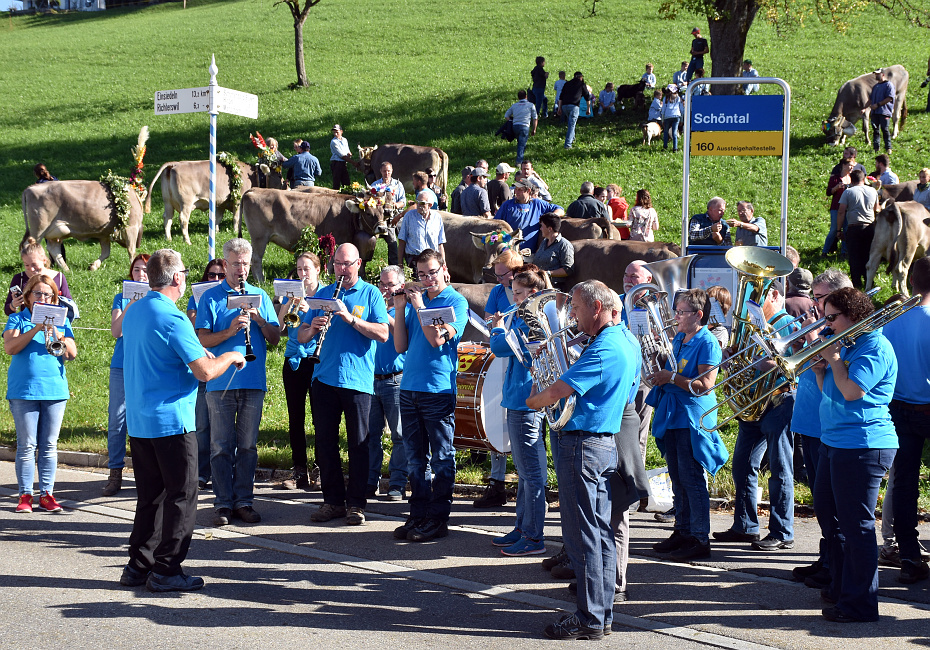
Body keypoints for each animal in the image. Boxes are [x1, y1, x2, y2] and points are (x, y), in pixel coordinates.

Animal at [143, 160, 280, 246]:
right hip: (186, 203)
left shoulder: (220, 203)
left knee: (167, 218)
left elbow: (217, 218)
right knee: (183, 219)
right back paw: (187, 241)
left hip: (167, 202)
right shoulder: (237, 200)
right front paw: (235, 231)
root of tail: (173, 164)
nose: (285, 185)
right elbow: (236, 218)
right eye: (280, 176)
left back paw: (168, 239)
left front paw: (216, 231)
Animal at [239, 186, 388, 280]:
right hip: (259, 237)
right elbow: (331, 264)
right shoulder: (334, 241)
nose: (382, 228)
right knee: (256, 259)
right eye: (368, 213)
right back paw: (261, 281)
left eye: (383, 212)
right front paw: (328, 278)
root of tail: (254, 189)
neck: (347, 214)